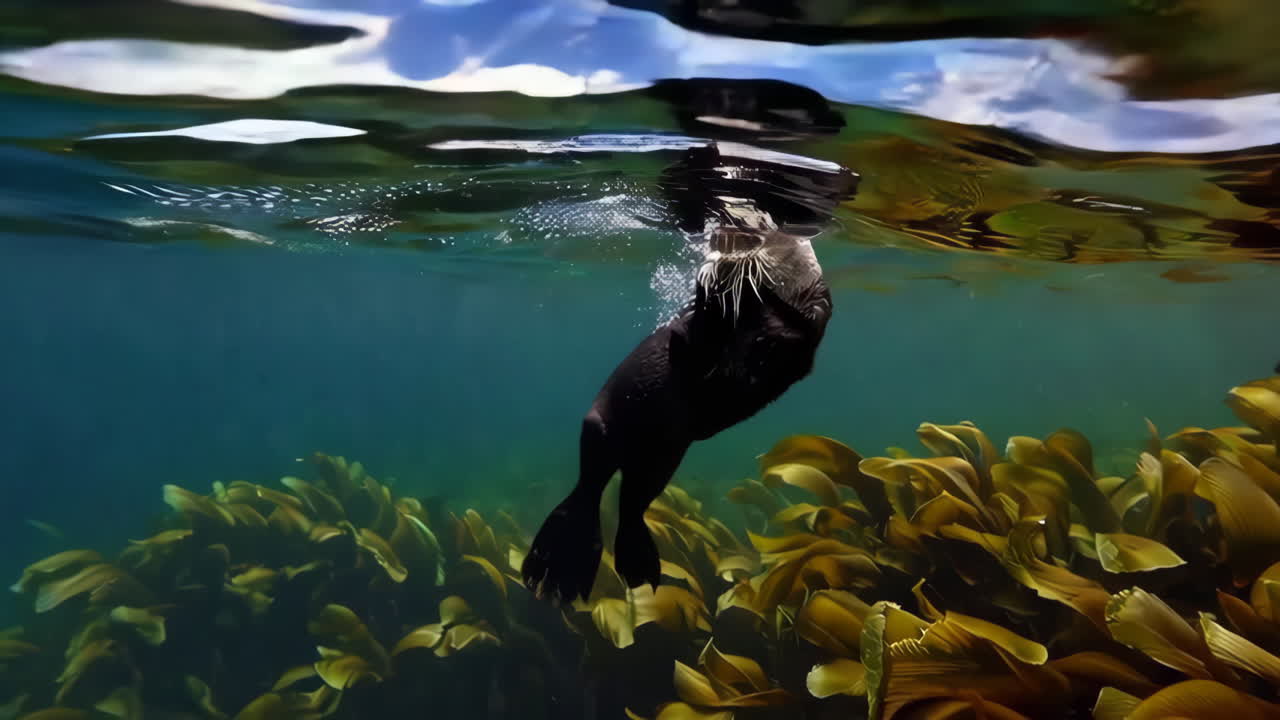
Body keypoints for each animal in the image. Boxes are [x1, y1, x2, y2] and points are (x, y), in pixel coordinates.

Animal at [521, 142, 856, 604]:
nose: (722, 243)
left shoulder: (807, 320)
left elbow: (793, 338)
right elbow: (695, 339)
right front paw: (710, 299)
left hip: (664, 457)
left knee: (630, 502)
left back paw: (633, 568)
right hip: (603, 428)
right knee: (592, 486)